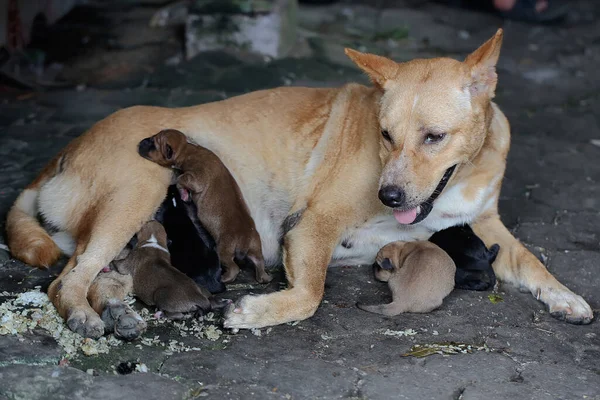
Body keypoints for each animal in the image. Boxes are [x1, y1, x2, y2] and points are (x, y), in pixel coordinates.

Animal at [138, 129, 272, 284]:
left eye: (153, 143)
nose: (140, 142)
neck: (188, 149)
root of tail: (245, 238)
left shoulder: (195, 178)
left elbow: (181, 179)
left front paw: (184, 193)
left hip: (223, 250)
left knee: (234, 268)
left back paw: (225, 278)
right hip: (255, 248)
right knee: (259, 262)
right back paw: (264, 277)